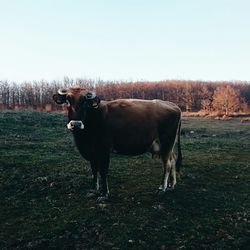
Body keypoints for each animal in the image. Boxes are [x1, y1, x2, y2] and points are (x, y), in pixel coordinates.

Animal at [53, 87, 182, 202]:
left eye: (85, 102)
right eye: (67, 101)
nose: (76, 124)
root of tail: (173, 106)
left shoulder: (104, 150)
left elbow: (103, 171)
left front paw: (104, 194)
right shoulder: (92, 152)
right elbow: (94, 170)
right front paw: (94, 189)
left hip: (167, 142)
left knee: (167, 164)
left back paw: (162, 188)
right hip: (167, 145)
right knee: (173, 160)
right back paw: (171, 185)